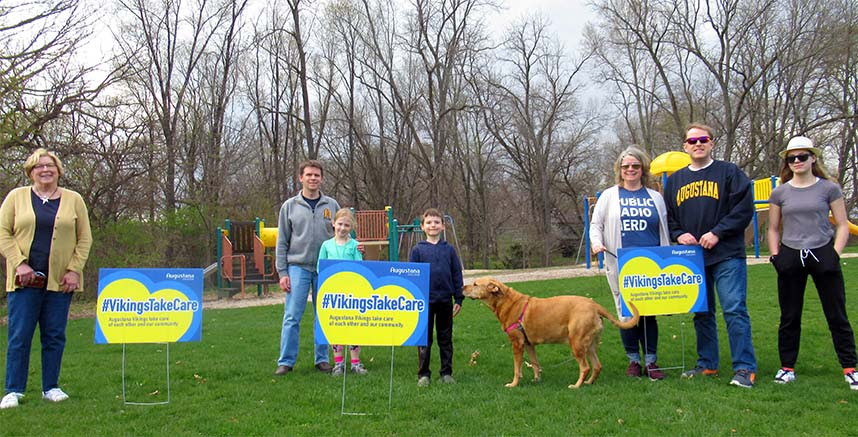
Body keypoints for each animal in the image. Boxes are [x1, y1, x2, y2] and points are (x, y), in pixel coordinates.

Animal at [462, 278, 636, 386]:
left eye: (475, 284)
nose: (462, 287)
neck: (506, 302)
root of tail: (594, 305)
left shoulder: (517, 344)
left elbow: (517, 369)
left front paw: (513, 384)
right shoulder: (529, 345)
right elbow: (535, 364)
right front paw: (537, 380)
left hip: (576, 343)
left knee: (585, 367)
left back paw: (577, 385)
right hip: (590, 344)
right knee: (597, 366)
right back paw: (589, 382)